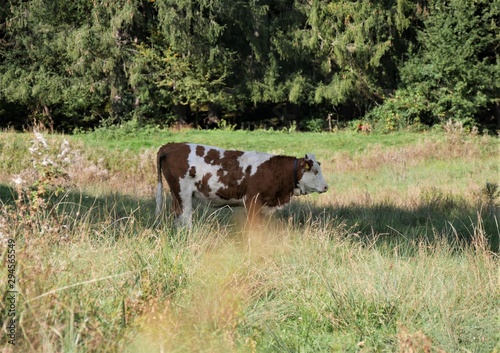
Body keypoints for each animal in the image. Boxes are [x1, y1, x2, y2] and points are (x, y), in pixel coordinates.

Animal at [155, 142, 328, 227]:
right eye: (314, 171)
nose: (326, 186)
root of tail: (171, 145)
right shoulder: (252, 201)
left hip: (177, 195)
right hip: (182, 193)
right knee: (184, 216)